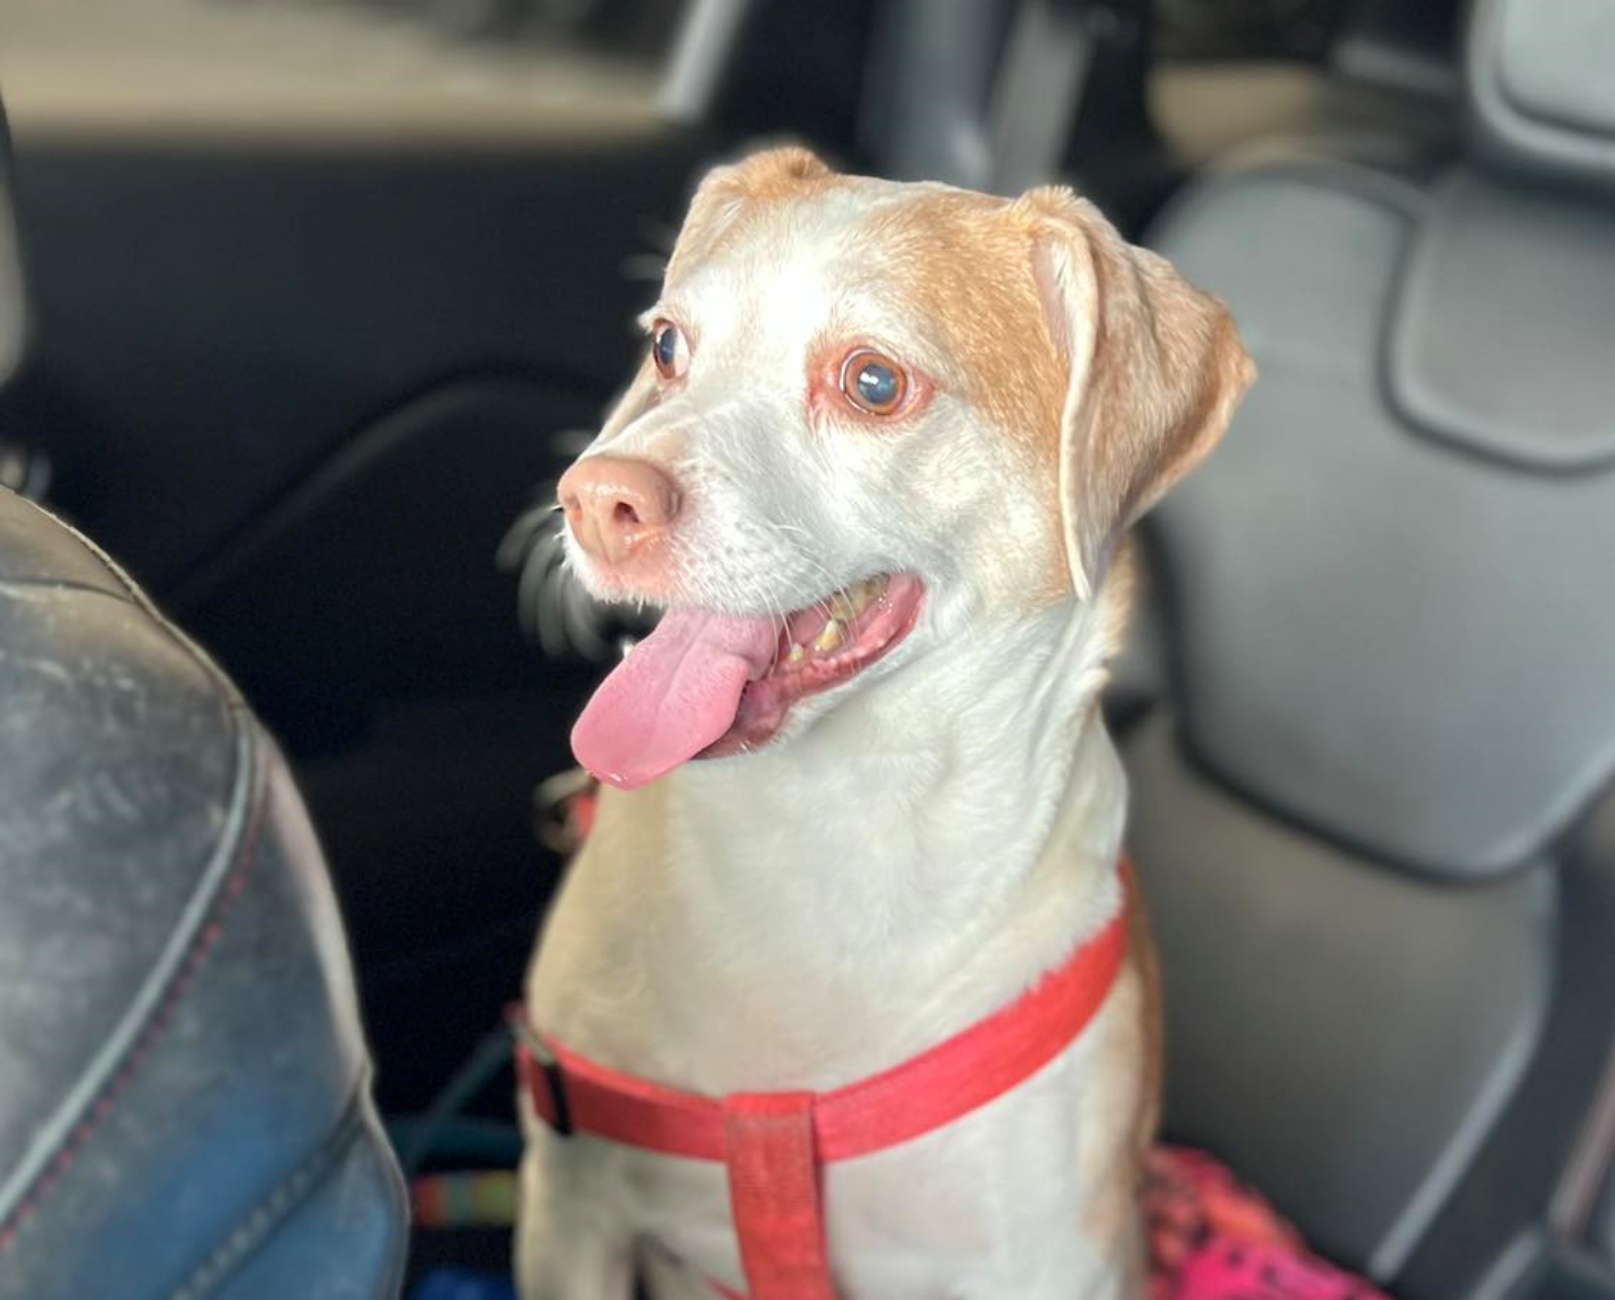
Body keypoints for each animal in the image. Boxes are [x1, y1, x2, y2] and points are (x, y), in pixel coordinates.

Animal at [523, 146, 1253, 1291]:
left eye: (872, 382)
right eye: (668, 346)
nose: (594, 498)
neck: (832, 832)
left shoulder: (1055, 1258)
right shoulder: (571, 1200)